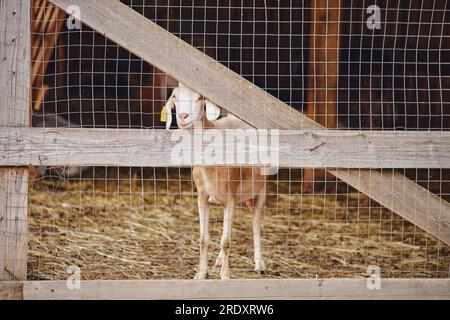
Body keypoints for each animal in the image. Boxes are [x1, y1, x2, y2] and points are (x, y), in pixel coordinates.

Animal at [164, 83, 266, 280]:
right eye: (175, 96)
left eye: (200, 98)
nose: (182, 116)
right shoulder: (202, 197)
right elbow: (203, 239)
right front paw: (201, 274)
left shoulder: (231, 198)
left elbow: (226, 241)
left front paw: (225, 276)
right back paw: (219, 260)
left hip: (260, 190)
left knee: (256, 222)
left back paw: (259, 264)